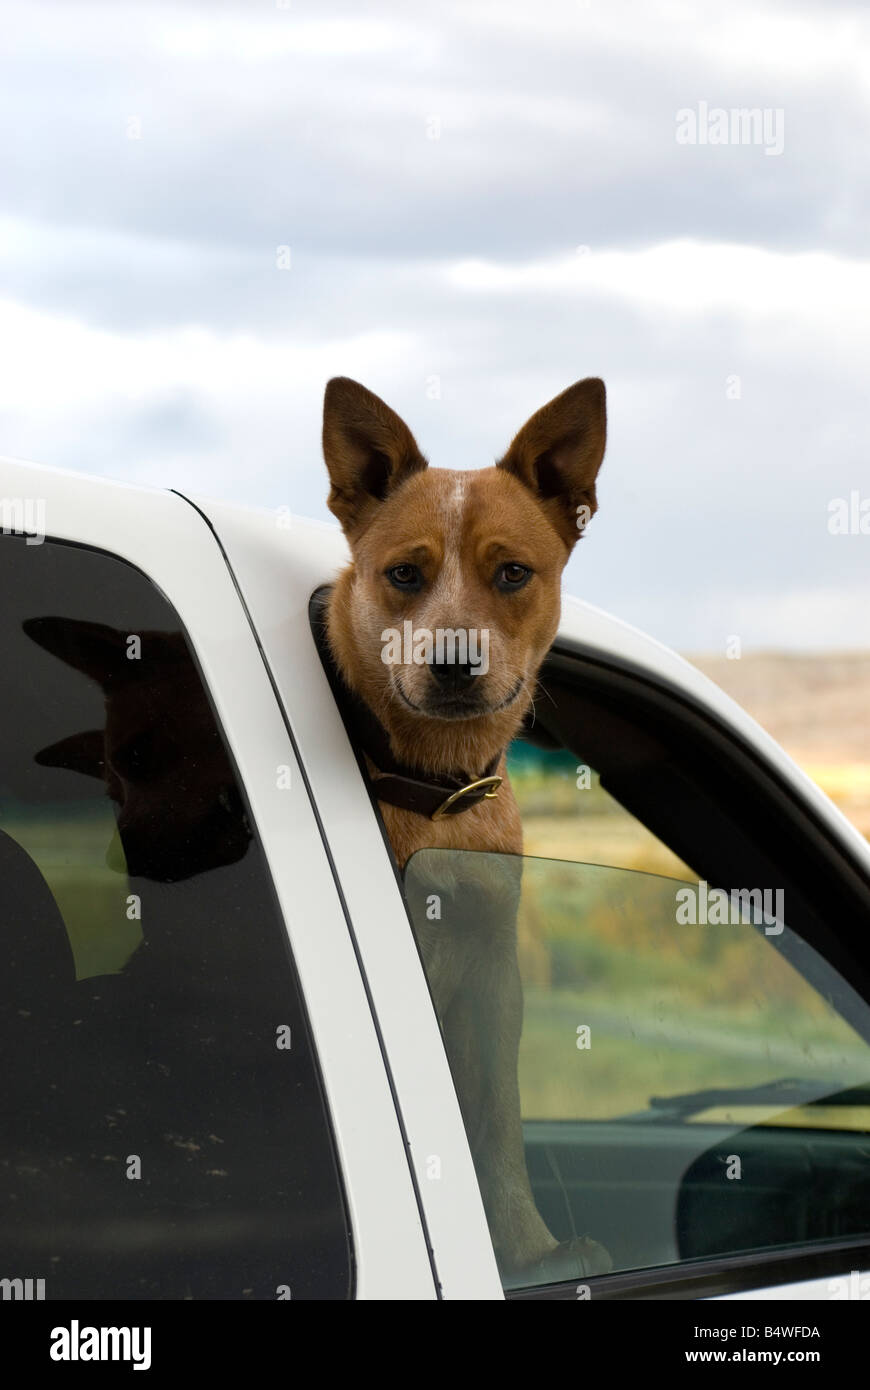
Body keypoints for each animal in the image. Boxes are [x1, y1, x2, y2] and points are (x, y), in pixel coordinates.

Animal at [322, 372, 614, 1278]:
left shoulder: (493, 969)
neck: (437, 788)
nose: (452, 662)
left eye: (514, 573)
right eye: (404, 574)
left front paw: (530, 1249)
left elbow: (497, 1121)